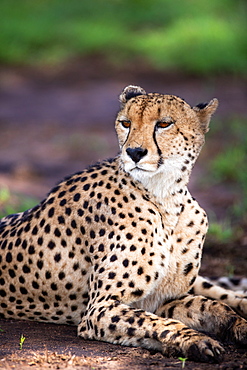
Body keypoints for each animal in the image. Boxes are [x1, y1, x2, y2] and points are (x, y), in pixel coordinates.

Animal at [0, 85, 247, 362]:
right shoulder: (101, 309)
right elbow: (156, 322)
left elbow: (213, 305)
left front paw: (238, 325)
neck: (166, 198)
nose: (134, 152)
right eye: (126, 123)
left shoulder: (165, 298)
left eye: (164, 124)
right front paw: (193, 340)